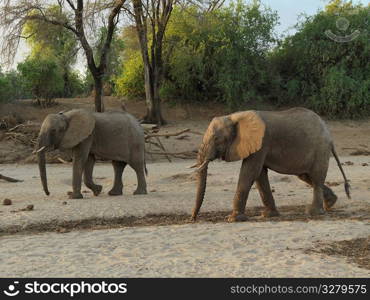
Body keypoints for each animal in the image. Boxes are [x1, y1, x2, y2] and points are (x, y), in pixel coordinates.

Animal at [191, 108, 350, 223]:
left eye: (216, 139)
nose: (193, 219)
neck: (235, 116)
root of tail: (330, 136)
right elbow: (260, 175)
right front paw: (268, 215)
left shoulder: (262, 143)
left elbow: (250, 172)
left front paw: (233, 219)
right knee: (305, 176)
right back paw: (330, 203)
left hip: (320, 149)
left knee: (316, 178)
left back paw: (313, 212)